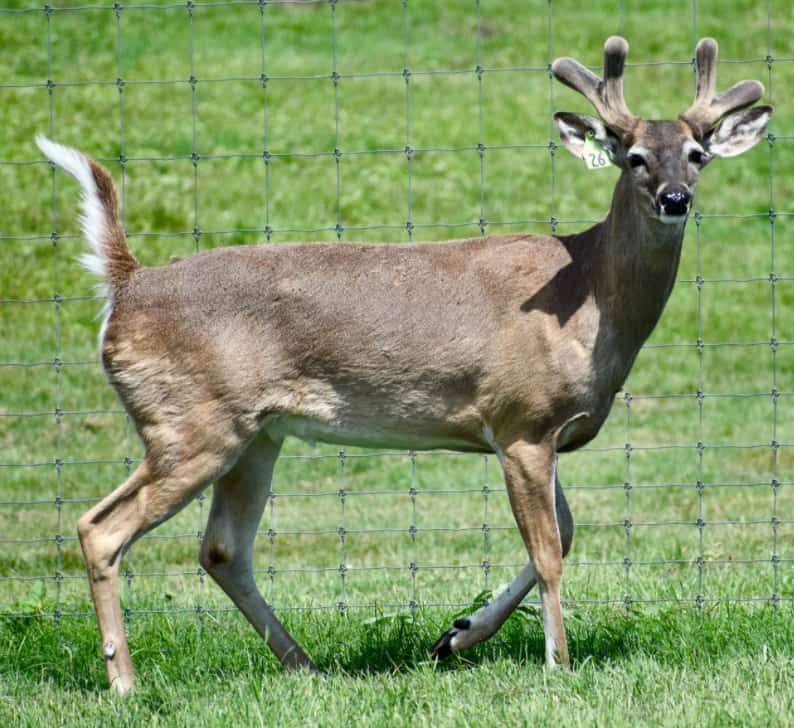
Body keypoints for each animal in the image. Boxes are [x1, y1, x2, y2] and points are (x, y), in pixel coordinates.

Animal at [36, 36, 771, 693]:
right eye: (635, 157)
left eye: (698, 154)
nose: (676, 197)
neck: (591, 295)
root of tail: (125, 285)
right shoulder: (520, 421)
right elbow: (550, 552)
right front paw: (558, 664)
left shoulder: (541, 430)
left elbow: (563, 533)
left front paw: (457, 635)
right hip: (191, 422)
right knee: (100, 529)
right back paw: (125, 682)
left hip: (255, 433)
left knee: (222, 549)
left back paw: (305, 666)